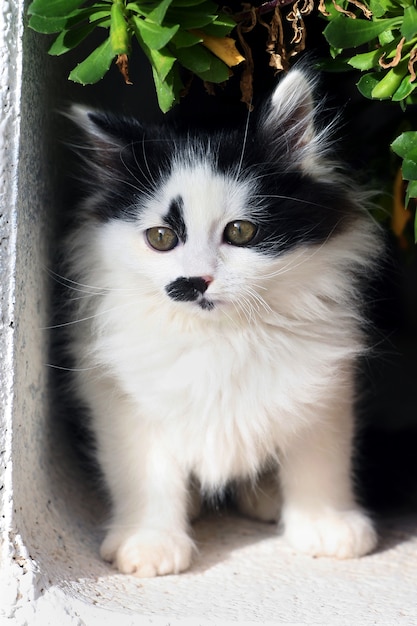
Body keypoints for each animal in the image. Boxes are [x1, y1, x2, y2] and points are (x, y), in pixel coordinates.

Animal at [64, 69, 380, 576]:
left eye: (241, 232)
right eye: (161, 237)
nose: (196, 281)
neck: (223, 336)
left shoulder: (324, 388)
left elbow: (321, 459)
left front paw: (327, 526)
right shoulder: (121, 399)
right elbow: (144, 474)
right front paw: (149, 544)